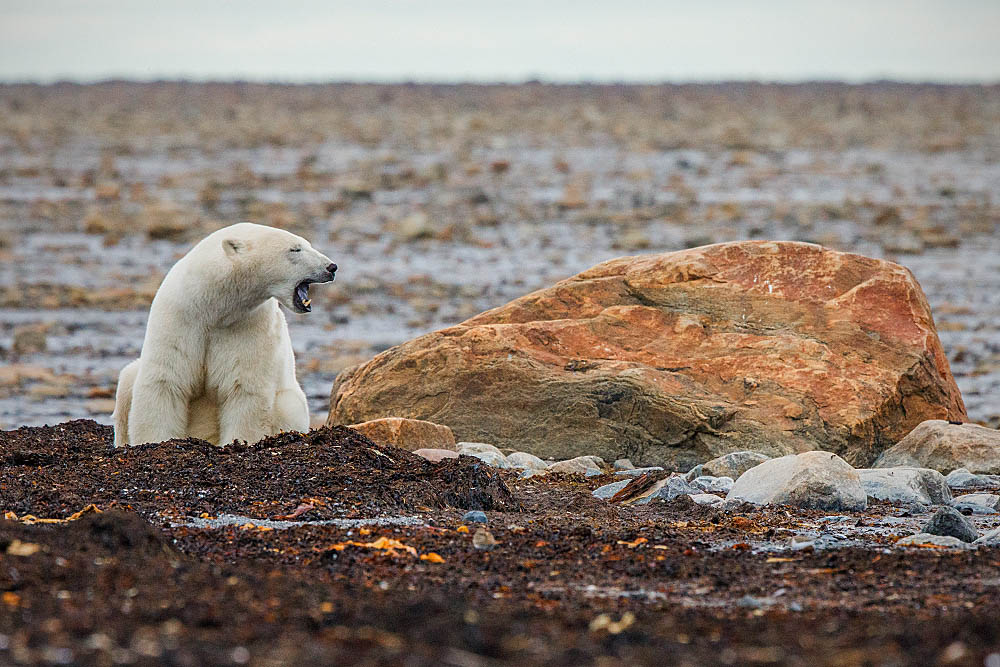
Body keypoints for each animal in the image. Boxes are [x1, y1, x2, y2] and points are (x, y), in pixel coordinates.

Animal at [114, 224, 336, 448]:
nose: (331, 267)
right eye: (295, 249)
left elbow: (243, 389)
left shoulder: (248, 326)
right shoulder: (179, 319)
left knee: (289, 405)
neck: (212, 308)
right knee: (127, 380)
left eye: (306, 244)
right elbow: (165, 381)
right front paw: (155, 441)